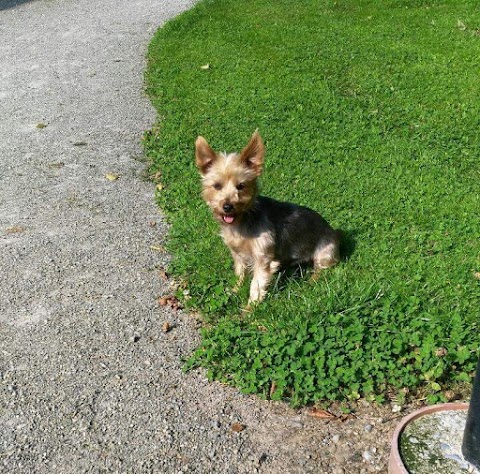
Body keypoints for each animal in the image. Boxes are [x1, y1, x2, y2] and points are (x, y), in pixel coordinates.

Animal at [196, 130, 342, 306]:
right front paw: (235, 290)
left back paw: (311, 282)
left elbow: (256, 286)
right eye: (217, 186)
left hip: (325, 252)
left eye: (241, 186)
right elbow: (240, 273)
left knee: (323, 269)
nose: (228, 206)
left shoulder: (263, 259)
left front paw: (249, 309)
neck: (242, 222)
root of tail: (334, 232)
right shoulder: (237, 254)